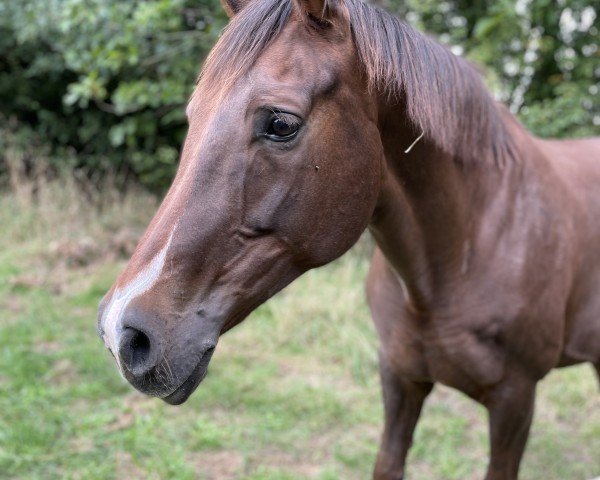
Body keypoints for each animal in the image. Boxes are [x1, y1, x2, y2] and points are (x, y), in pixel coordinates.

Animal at [96, 1, 596, 478]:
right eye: (192, 114)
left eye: (280, 123)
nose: (122, 333)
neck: (463, 251)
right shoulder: (399, 379)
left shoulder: (515, 400)